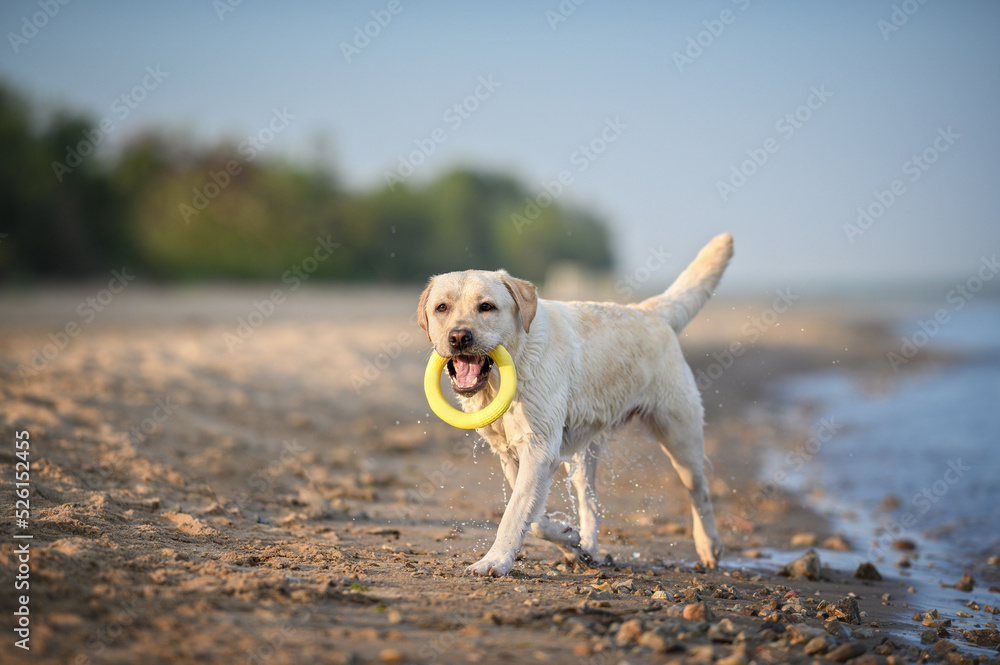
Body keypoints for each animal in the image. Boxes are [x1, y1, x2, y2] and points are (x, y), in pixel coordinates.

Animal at [416, 233, 736, 576]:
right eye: (442, 307)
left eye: (486, 306)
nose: (459, 337)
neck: (512, 366)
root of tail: (648, 311)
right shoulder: (510, 453)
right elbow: (534, 516)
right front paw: (570, 539)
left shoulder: (539, 448)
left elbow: (516, 513)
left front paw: (495, 561)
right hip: (584, 452)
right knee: (592, 505)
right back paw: (588, 549)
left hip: (680, 436)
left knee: (700, 491)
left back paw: (709, 546)